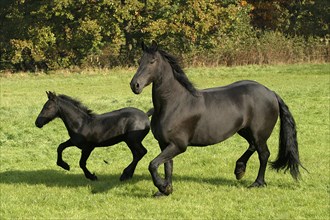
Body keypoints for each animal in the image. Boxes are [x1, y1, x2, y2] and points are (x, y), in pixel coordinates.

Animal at [130, 41, 306, 196]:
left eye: (152, 61)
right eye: (140, 61)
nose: (135, 85)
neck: (174, 104)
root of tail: (271, 92)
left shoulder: (178, 145)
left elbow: (153, 165)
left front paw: (163, 187)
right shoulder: (164, 144)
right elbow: (167, 167)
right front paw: (165, 190)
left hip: (259, 134)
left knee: (263, 154)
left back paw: (257, 183)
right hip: (244, 130)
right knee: (252, 146)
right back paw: (239, 170)